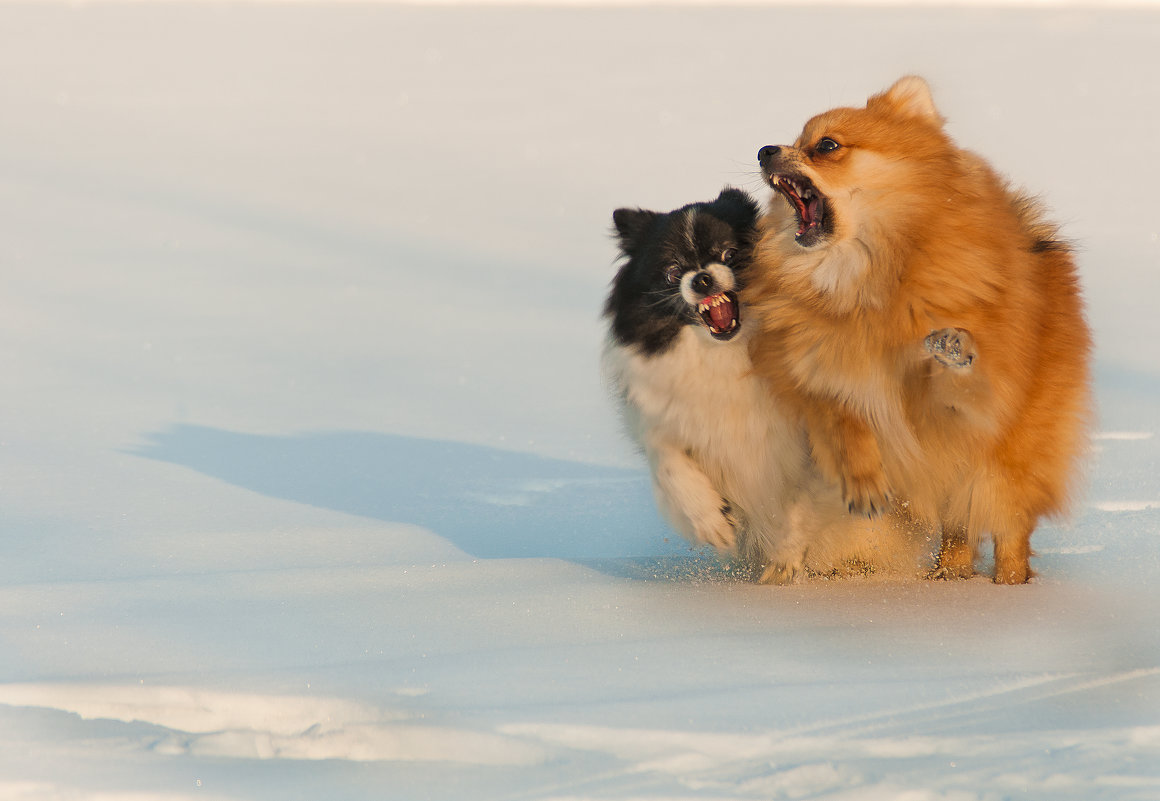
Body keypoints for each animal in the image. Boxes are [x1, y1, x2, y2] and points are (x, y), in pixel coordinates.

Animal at [747, 78, 1090, 586]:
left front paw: (953, 349)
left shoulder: (948, 406)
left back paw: (1009, 586)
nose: (766, 150)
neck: (869, 276)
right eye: (793, 139)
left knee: (1008, 526)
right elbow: (839, 412)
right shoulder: (812, 369)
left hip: (1003, 464)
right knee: (958, 532)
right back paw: (949, 576)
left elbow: (950, 384)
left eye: (826, 146)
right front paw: (863, 478)